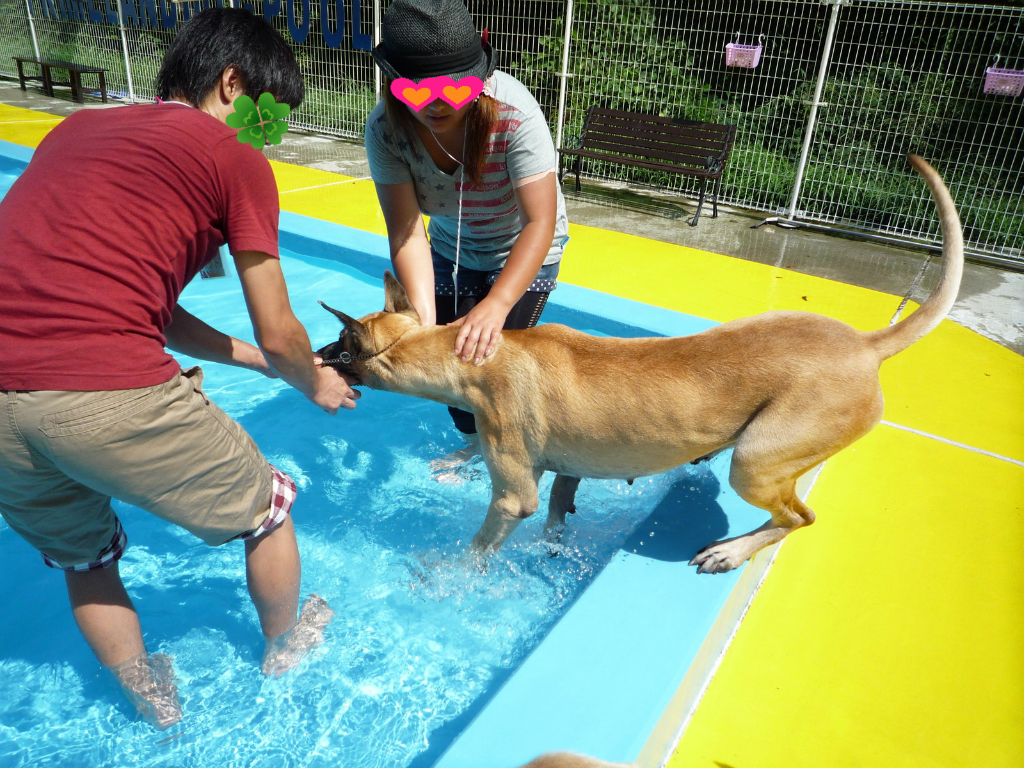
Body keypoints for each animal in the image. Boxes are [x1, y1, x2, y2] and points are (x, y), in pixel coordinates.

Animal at [318, 155, 962, 574]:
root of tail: (865, 345)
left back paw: (731, 551)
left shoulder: (510, 497)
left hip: (757, 459)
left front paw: (447, 572)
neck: (469, 356)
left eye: (340, 343)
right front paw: (553, 544)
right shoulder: (566, 468)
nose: (315, 358)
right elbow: (558, 508)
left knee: (798, 517)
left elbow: (482, 541)